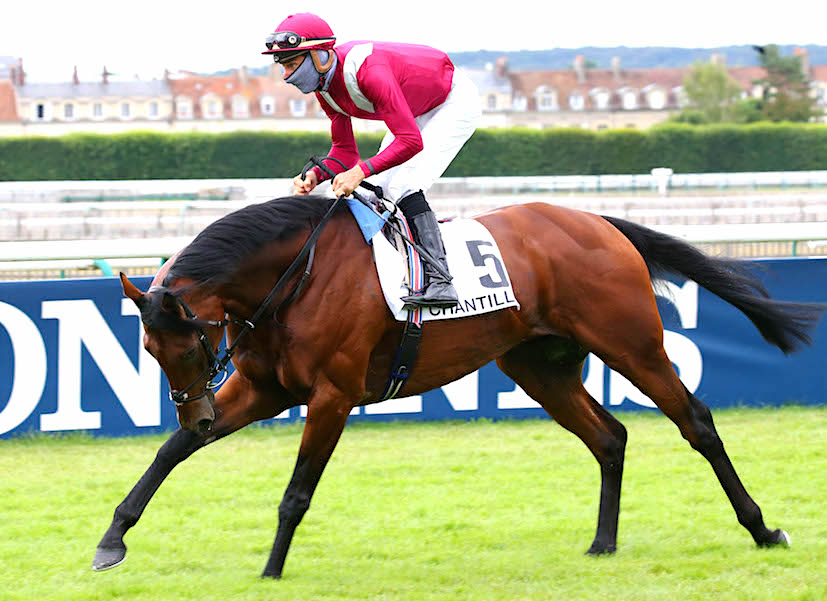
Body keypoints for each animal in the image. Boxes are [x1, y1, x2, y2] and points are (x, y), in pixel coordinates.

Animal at [93, 193, 825, 578]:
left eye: (190, 343)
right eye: (149, 350)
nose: (195, 414)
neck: (295, 275)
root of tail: (599, 222)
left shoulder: (331, 394)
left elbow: (296, 492)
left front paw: (271, 573)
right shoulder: (264, 389)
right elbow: (168, 454)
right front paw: (113, 538)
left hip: (632, 342)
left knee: (695, 422)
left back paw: (762, 529)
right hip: (538, 365)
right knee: (609, 436)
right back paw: (602, 542)